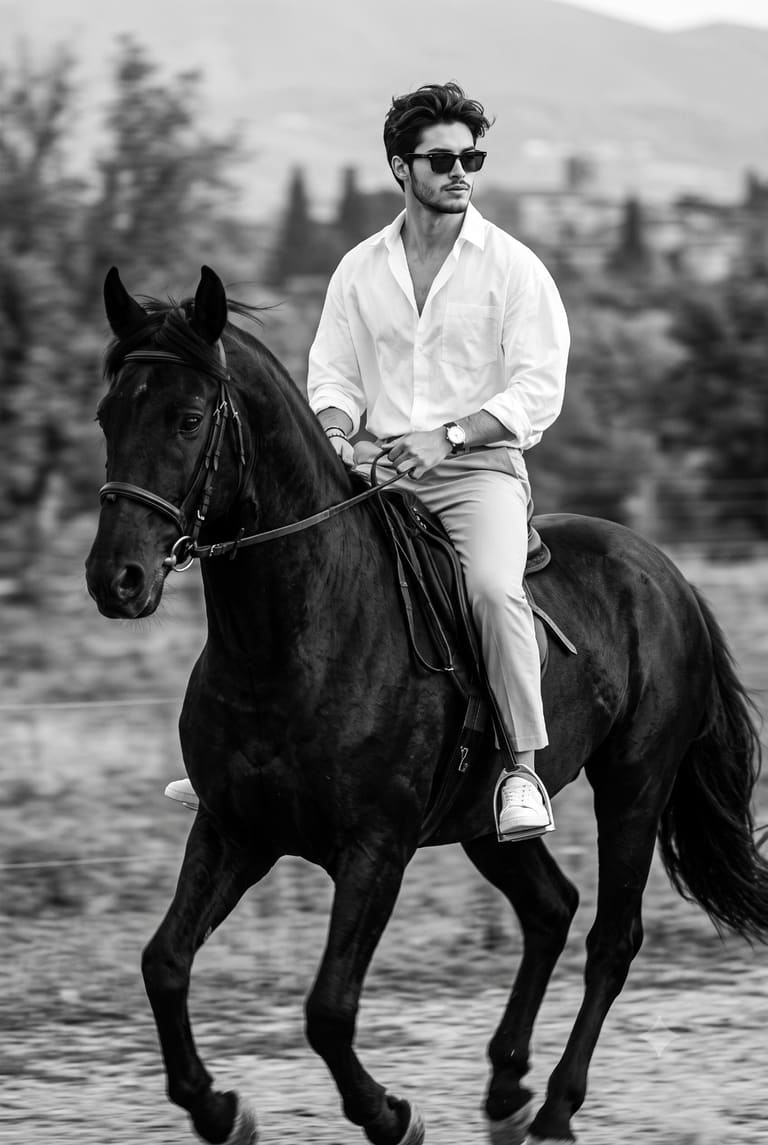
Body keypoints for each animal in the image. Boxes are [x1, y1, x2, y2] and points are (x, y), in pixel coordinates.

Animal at [85, 265, 768, 1145]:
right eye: (108, 414)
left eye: (189, 418)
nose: (117, 579)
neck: (293, 637)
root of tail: (665, 574)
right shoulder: (235, 828)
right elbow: (164, 963)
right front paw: (216, 1107)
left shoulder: (376, 849)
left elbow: (328, 1008)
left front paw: (389, 1114)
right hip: (487, 821)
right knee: (551, 909)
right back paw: (507, 1090)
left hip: (634, 790)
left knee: (612, 937)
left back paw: (555, 1106)